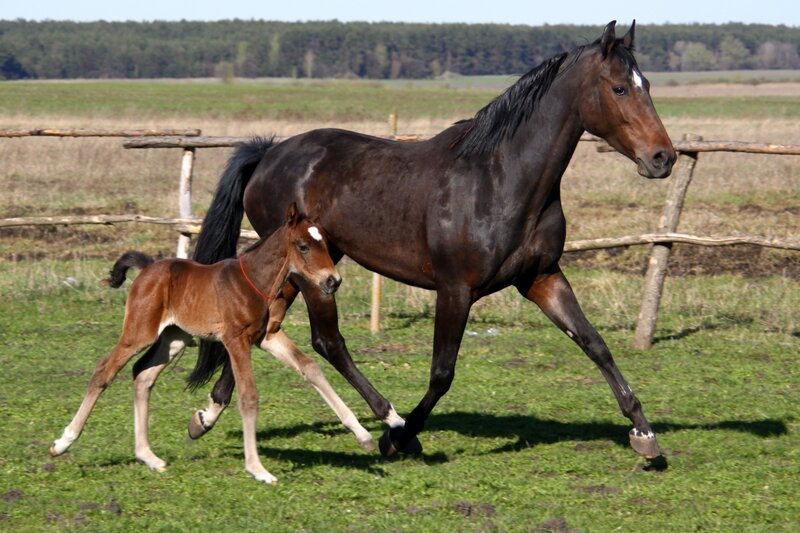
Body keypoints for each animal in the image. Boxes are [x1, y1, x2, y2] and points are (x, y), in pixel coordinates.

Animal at [50, 204, 374, 484]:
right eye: (303, 246)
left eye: (325, 244)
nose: (333, 281)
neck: (254, 282)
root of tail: (147, 268)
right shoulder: (235, 340)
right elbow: (248, 396)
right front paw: (257, 469)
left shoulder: (266, 337)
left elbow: (310, 367)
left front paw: (363, 434)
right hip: (139, 332)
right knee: (105, 370)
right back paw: (63, 442)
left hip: (174, 338)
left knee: (142, 374)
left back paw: (149, 457)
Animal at [183, 20, 676, 460]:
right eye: (619, 88)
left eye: (648, 84)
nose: (662, 158)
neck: (500, 179)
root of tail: (269, 153)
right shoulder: (455, 290)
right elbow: (442, 373)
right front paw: (401, 438)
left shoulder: (542, 278)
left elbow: (594, 344)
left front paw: (644, 435)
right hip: (310, 273)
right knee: (327, 341)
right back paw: (387, 418)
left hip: (306, 265)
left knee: (266, 325)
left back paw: (207, 414)